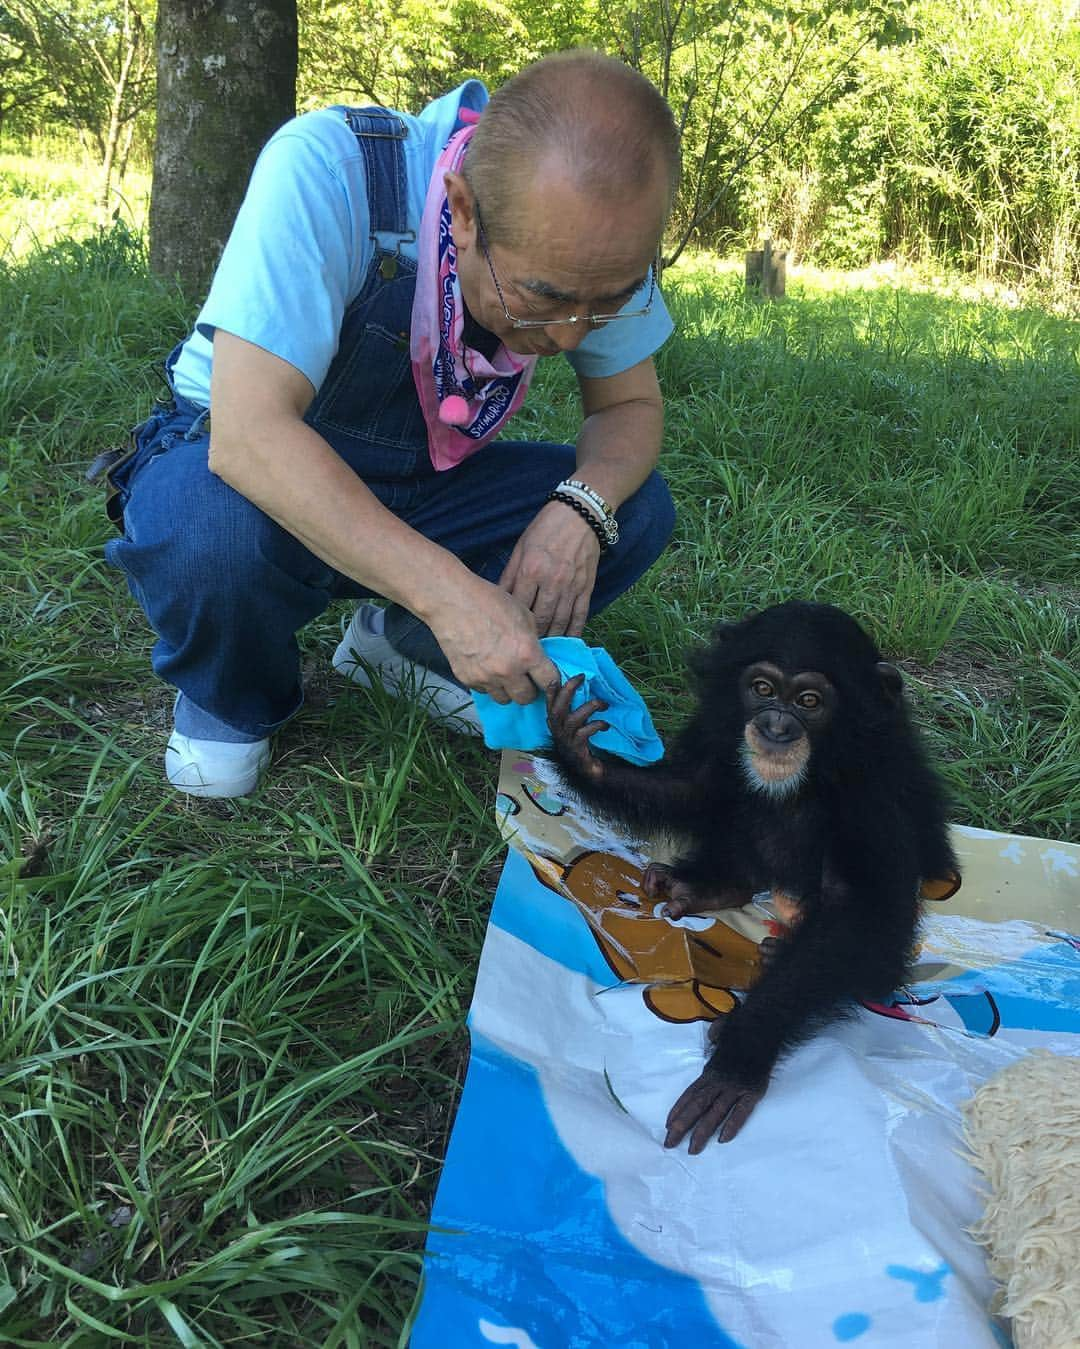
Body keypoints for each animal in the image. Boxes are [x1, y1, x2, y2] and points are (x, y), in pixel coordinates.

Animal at [544, 601, 954, 1149]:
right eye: (762, 688)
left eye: (808, 700)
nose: (776, 726)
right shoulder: (720, 731)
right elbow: (694, 786)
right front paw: (581, 755)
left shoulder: (874, 789)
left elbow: (865, 914)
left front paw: (741, 1052)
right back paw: (706, 885)